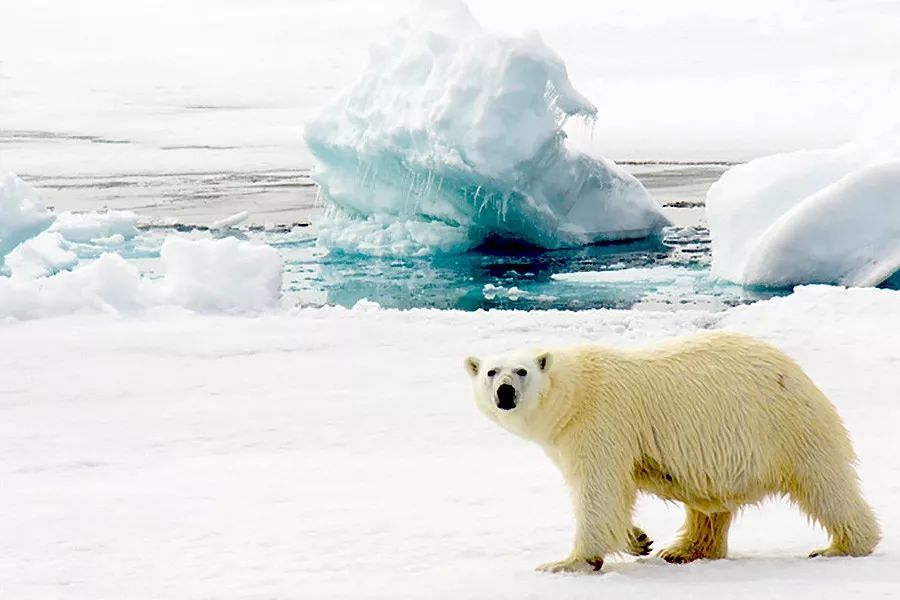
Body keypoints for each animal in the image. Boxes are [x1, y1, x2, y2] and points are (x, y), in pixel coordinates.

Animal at [464, 332, 880, 572]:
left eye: (521, 371)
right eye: (490, 372)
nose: (504, 392)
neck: (575, 391)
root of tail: (799, 374)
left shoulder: (601, 421)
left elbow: (599, 489)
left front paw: (568, 562)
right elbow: (615, 493)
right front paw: (638, 539)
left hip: (787, 428)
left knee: (825, 486)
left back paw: (842, 546)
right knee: (708, 506)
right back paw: (682, 551)